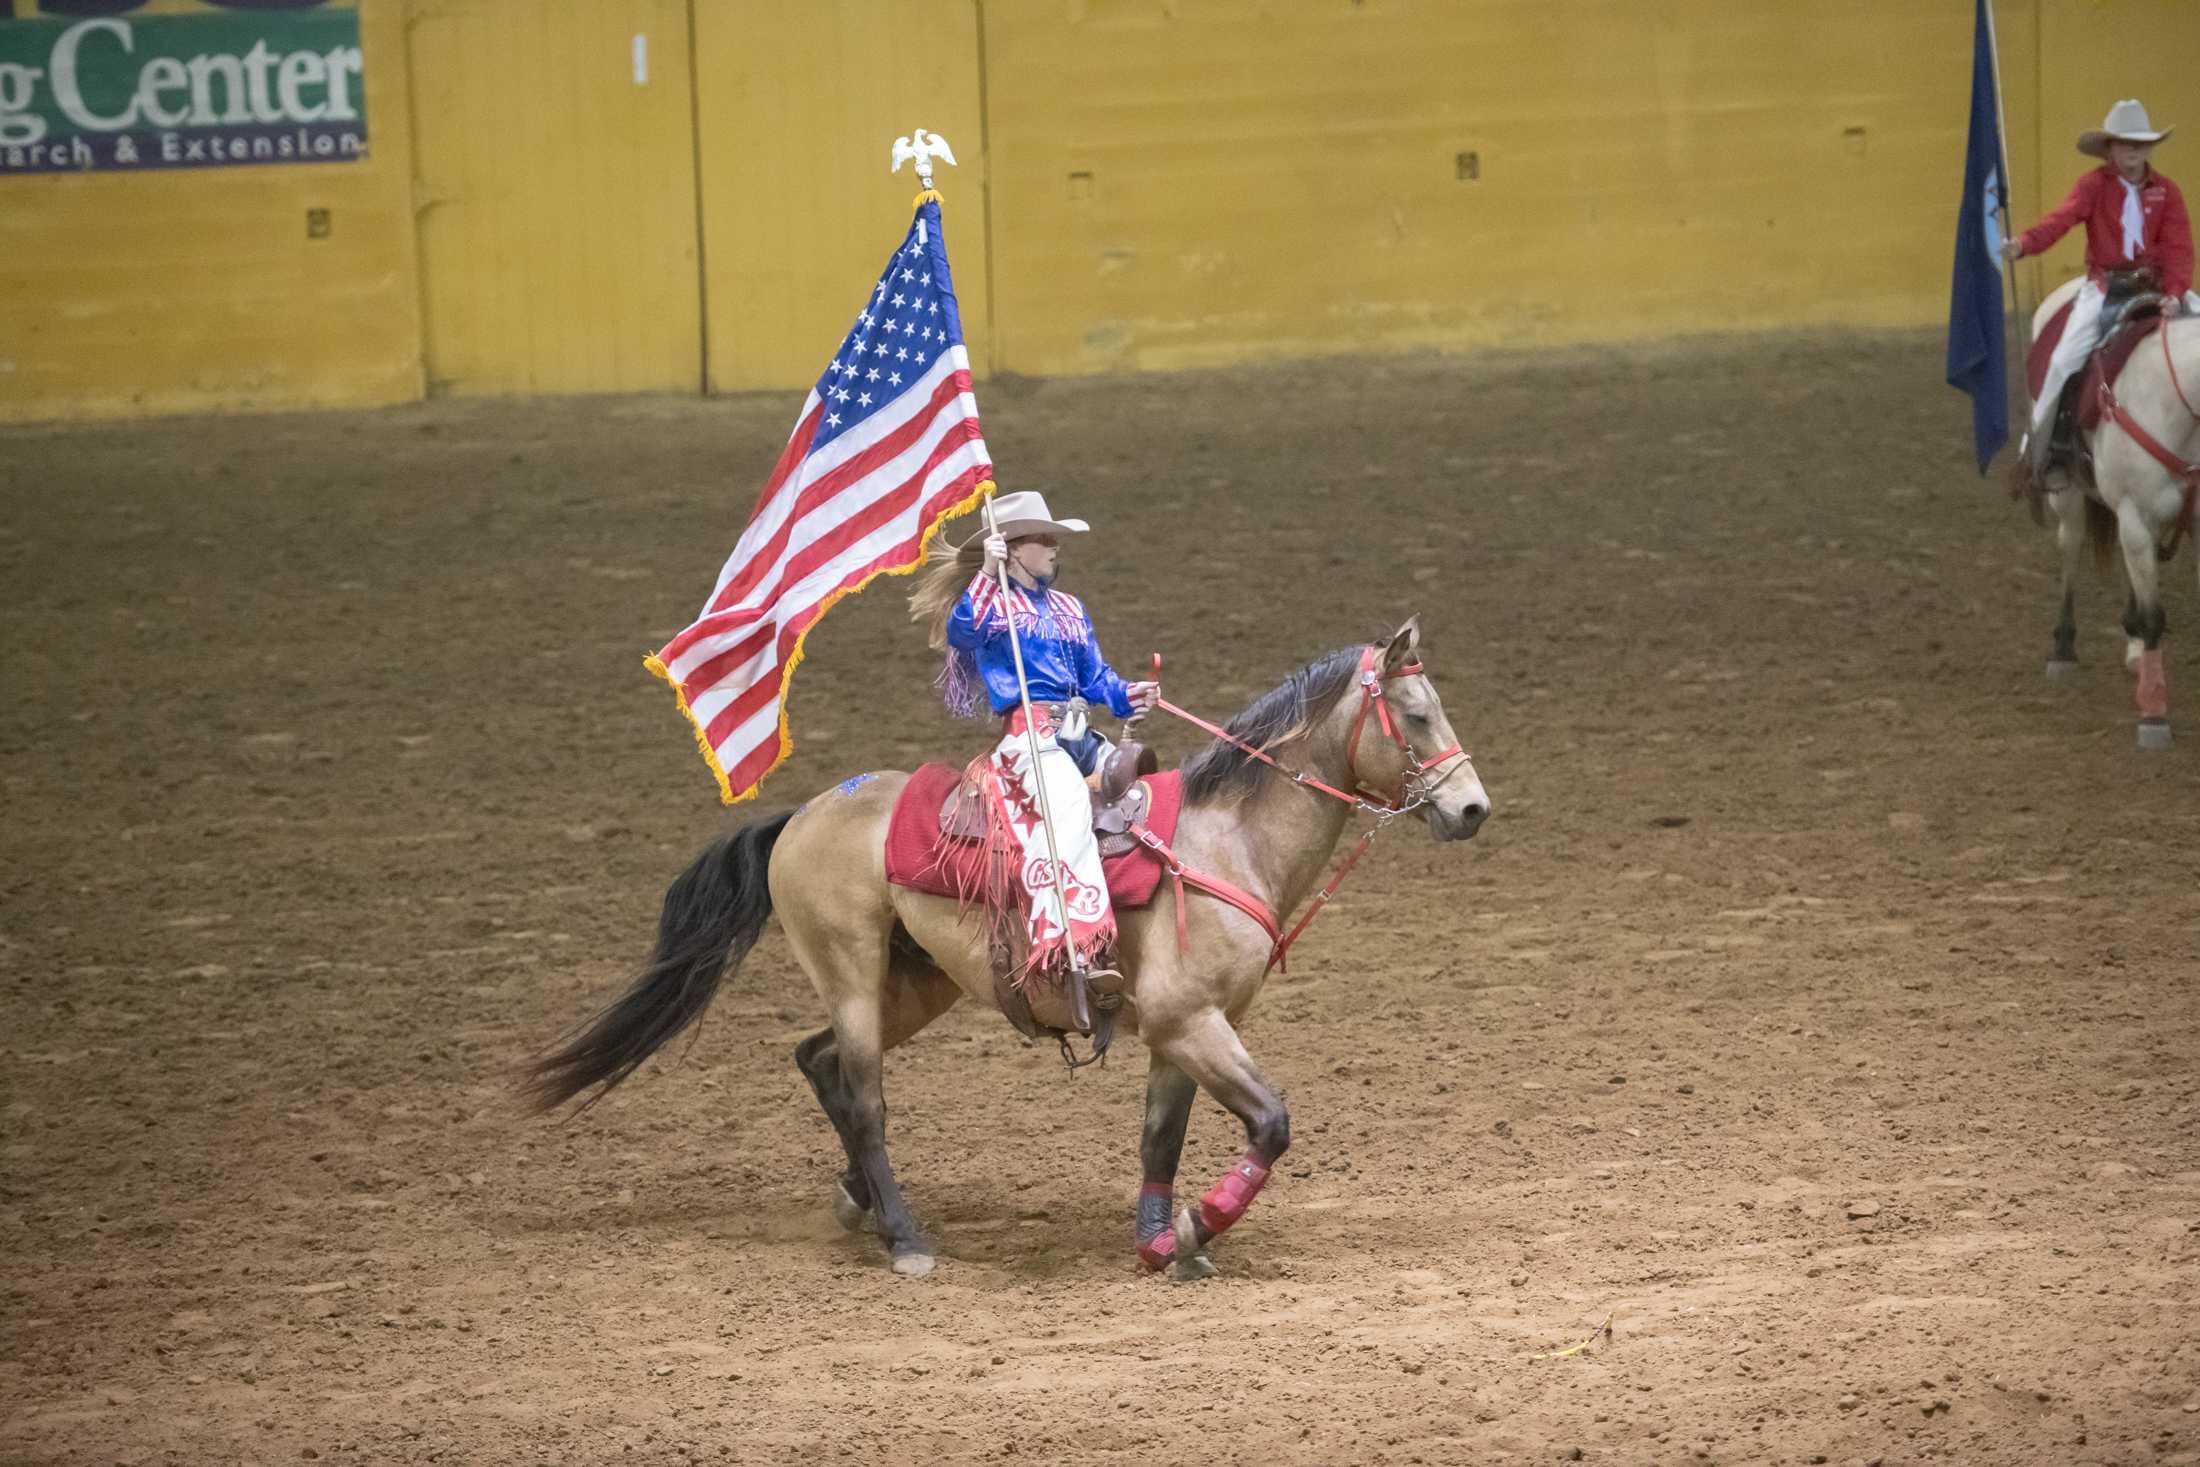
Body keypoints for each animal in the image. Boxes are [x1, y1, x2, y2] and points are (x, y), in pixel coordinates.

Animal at [523, 615, 1487, 1275]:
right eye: (1415, 712)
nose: (1472, 807)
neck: (1225, 842)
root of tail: (802, 815)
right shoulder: (1190, 1022)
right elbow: (1272, 1123)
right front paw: (1193, 1226)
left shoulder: (1183, 1032)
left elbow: (1160, 1139)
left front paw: (1162, 1241)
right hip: (853, 970)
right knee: (863, 1096)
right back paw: (904, 1235)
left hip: (912, 985)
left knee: (817, 1058)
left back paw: (857, 1199)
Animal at [2024, 279, 2200, 752]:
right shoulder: (2135, 512)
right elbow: (2155, 616)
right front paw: (2154, 715)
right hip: (2069, 492)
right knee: (2070, 547)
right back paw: (2063, 649)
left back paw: (2134, 647)